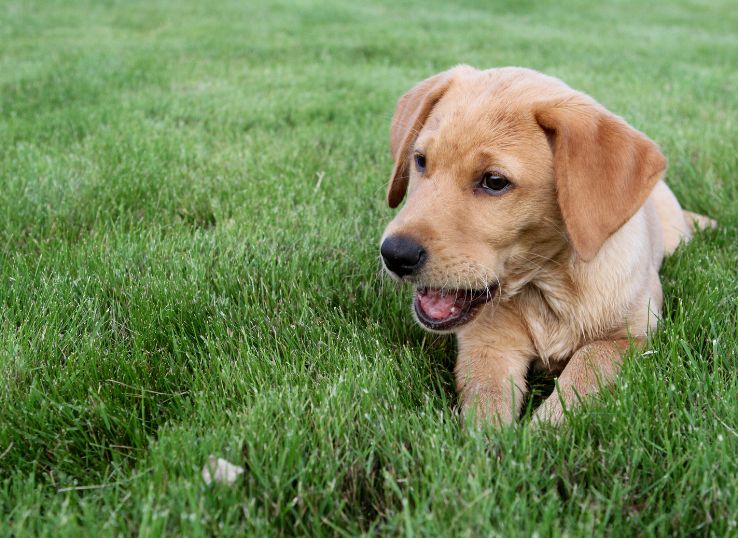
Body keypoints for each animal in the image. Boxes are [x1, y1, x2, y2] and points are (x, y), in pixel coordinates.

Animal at [380, 66, 712, 422]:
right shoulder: (487, 343)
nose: (394, 254)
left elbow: (583, 371)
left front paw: (541, 428)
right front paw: (494, 437)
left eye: (494, 181)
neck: (547, 287)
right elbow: (486, 403)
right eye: (420, 160)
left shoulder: (630, 337)